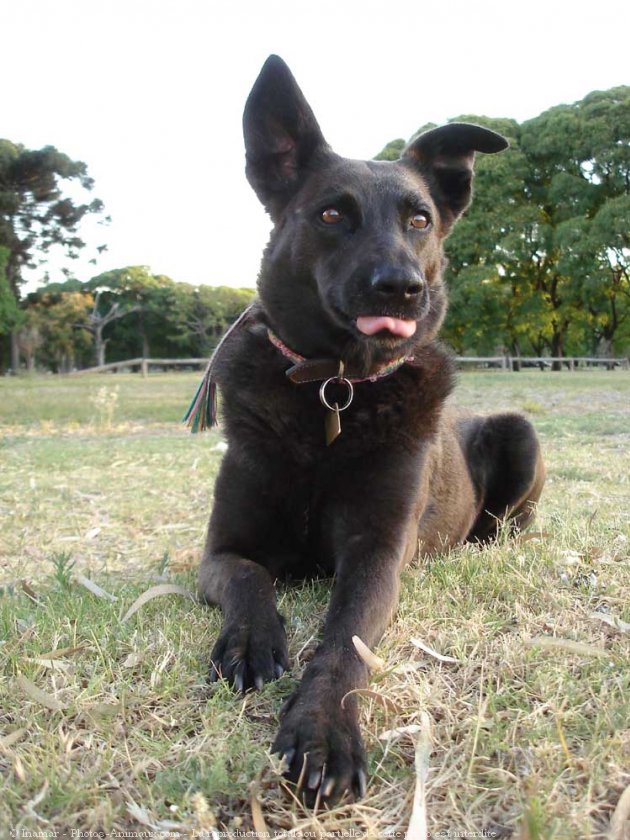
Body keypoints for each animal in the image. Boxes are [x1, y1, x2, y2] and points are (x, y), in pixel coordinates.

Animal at [198, 55, 548, 804]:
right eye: (332, 214)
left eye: (419, 219)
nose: (402, 288)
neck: (336, 388)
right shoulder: (221, 551)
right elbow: (249, 584)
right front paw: (251, 643)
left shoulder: (377, 554)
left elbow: (342, 641)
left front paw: (321, 730)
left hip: (519, 433)